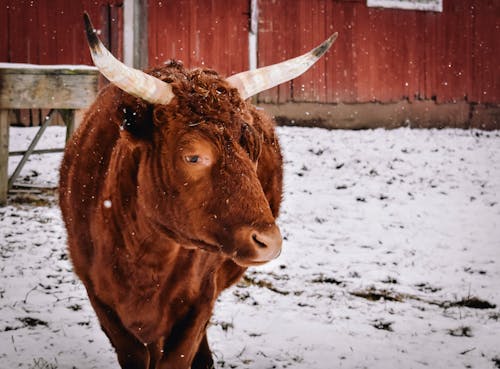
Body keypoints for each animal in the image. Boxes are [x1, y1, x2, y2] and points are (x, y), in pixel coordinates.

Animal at [58, 12, 336, 368]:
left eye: (253, 148)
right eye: (193, 155)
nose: (269, 242)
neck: (144, 256)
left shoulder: (199, 301)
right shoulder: (101, 300)